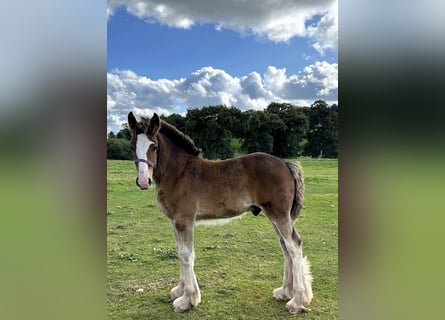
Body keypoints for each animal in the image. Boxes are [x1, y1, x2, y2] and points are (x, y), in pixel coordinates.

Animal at [126, 112, 312, 312]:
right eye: (132, 146)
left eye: (154, 146)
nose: (143, 181)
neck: (178, 172)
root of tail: (285, 164)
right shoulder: (174, 221)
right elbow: (179, 252)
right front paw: (179, 291)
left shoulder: (184, 220)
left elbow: (186, 255)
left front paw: (188, 300)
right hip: (275, 215)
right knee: (285, 247)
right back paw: (285, 292)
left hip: (279, 214)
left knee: (293, 246)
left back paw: (296, 301)